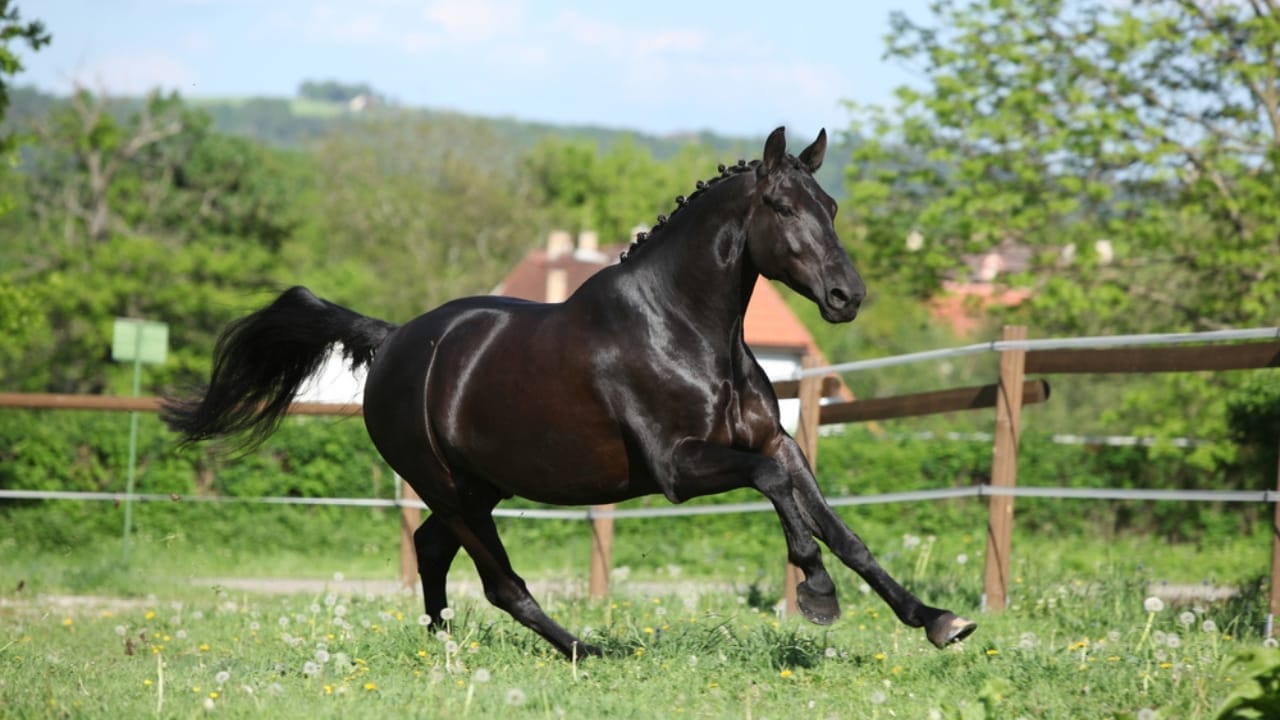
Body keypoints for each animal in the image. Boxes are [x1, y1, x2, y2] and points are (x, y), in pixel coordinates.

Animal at [163, 127, 977, 658]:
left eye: (830, 206)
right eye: (780, 206)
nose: (846, 297)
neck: (681, 327)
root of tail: (392, 342)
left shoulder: (772, 441)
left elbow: (842, 529)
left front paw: (938, 619)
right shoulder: (679, 468)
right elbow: (782, 497)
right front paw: (816, 595)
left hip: (478, 485)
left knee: (431, 552)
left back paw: (443, 650)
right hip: (449, 487)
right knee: (499, 582)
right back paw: (588, 651)